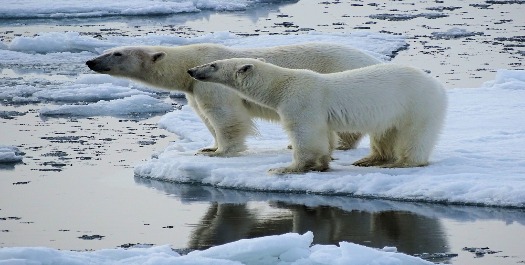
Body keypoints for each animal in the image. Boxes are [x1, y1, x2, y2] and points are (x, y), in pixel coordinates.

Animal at [86, 42, 380, 156]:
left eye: (117, 54)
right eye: (110, 50)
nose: (91, 61)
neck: (189, 64)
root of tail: (373, 59)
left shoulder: (211, 85)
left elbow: (224, 116)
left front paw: (221, 152)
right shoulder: (194, 88)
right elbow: (205, 118)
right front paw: (208, 147)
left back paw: (340, 144)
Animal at [186, 57, 444, 173]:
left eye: (213, 65)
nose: (191, 70)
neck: (282, 86)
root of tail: (437, 85)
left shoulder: (301, 102)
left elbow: (305, 134)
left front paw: (286, 168)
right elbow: (325, 137)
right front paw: (323, 163)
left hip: (417, 104)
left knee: (413, 136)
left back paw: (400, 163)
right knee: (385, 133)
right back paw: (369, 160)